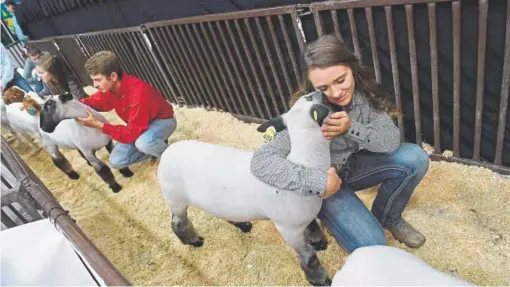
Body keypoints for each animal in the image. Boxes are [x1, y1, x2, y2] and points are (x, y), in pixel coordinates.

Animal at [157, 91, 336, 286]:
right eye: (309, 97)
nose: (321, 92)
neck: (304, 162)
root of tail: (166, 152)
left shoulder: (302, 217)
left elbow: (313, 226)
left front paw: (319, 243)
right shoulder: (288, 229)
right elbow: (308, 256)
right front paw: (320, 279)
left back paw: (242, 225)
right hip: (175, 198)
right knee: (177, 223)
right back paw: (193, 241)